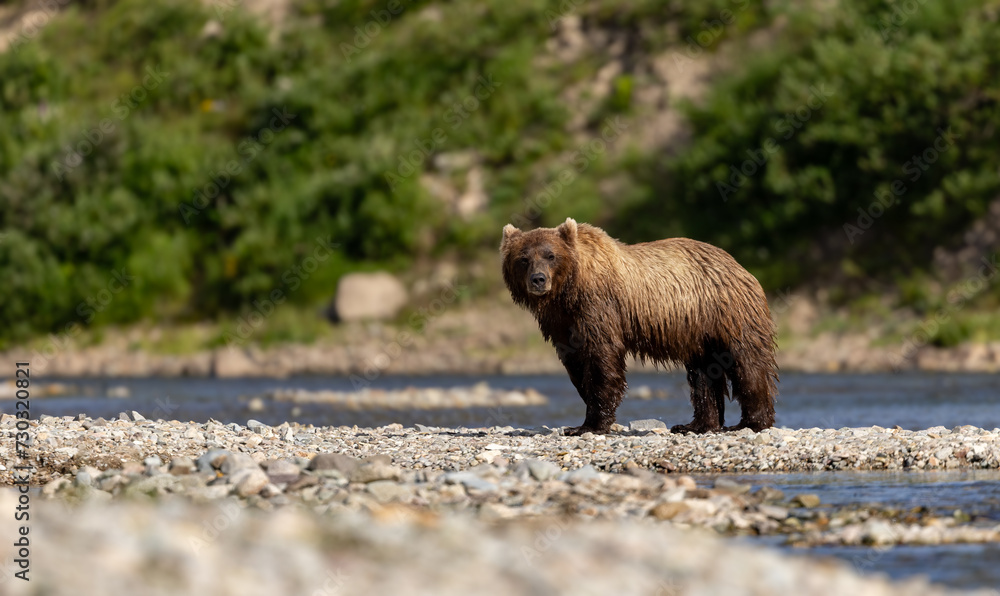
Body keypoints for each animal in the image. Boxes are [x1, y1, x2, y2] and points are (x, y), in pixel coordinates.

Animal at [500, 217, 778, 435]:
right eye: (523, 259)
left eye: (551, 255)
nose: (538, 279)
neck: (568, 291)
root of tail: (738, 265)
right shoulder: (561, 322)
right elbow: (576, 363)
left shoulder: (598, 307)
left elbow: (602, 358)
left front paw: (590, 424)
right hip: (698, 331)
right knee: (703, 373)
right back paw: (696, 425)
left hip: (728, 313)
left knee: (747, 363)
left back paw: (751, 422)